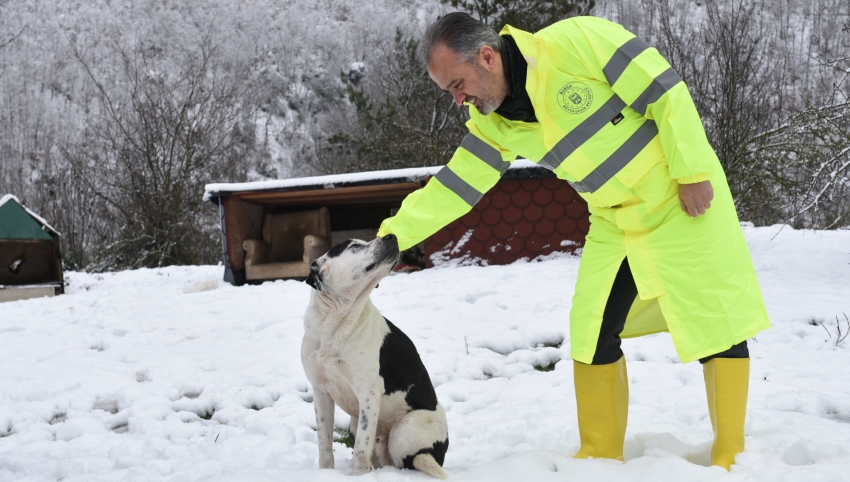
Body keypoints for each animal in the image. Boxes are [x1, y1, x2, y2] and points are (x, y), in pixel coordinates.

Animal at [304, 235, 450, 476]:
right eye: (354, 246)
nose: (391, 236)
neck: (334, 327)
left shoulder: (369, 394)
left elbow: (361, 451)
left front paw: (359, 477)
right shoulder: (321, 392)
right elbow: (324, 446)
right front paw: (325, 474)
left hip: (406, 429)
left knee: (412, 462)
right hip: (355, 424)